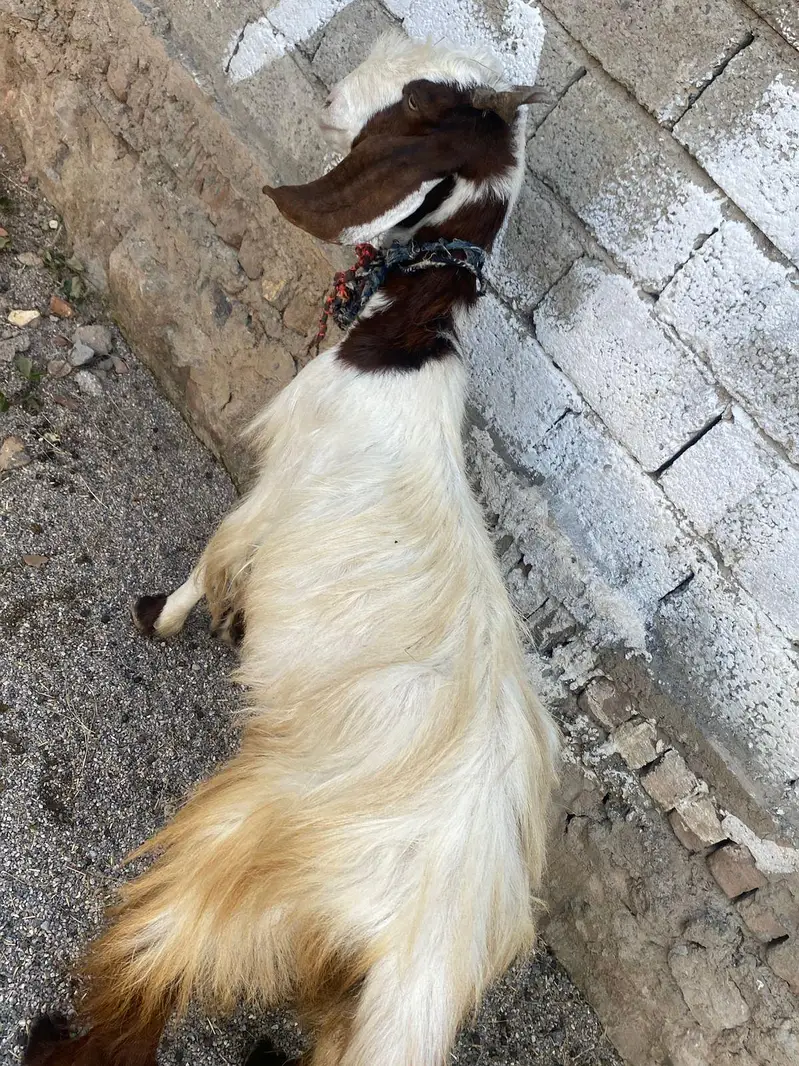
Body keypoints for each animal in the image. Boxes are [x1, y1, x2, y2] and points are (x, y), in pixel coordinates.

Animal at [24, 31, 559, 1066]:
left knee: (145, 976)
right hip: (341, 997)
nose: (344, 76)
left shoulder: (269, 497)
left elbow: (207, 562)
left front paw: (159, 618)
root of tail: (427, 957)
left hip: (235, 866)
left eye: (415, 96)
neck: (402, 341)